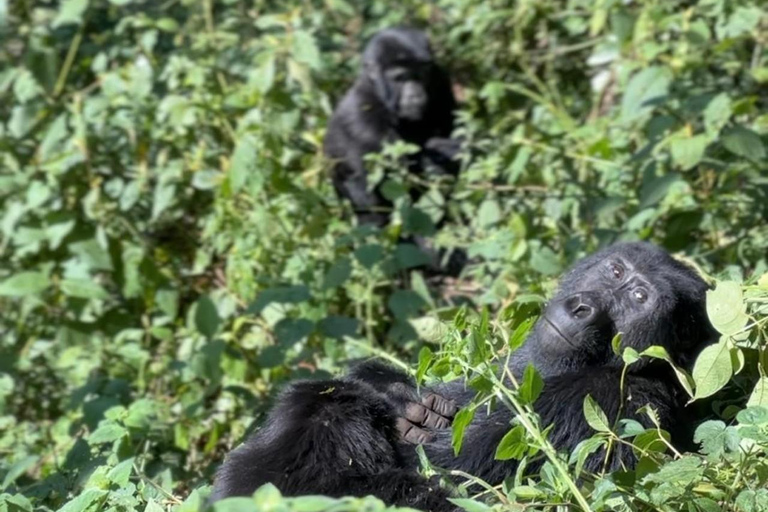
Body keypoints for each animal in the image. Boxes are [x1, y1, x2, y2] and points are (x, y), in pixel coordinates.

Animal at [322, 26, 460, 228]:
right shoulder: (361, 116)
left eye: (421, 75)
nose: (415, 95)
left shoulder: (440, 79)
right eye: (400, 78)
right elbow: (387, 190)